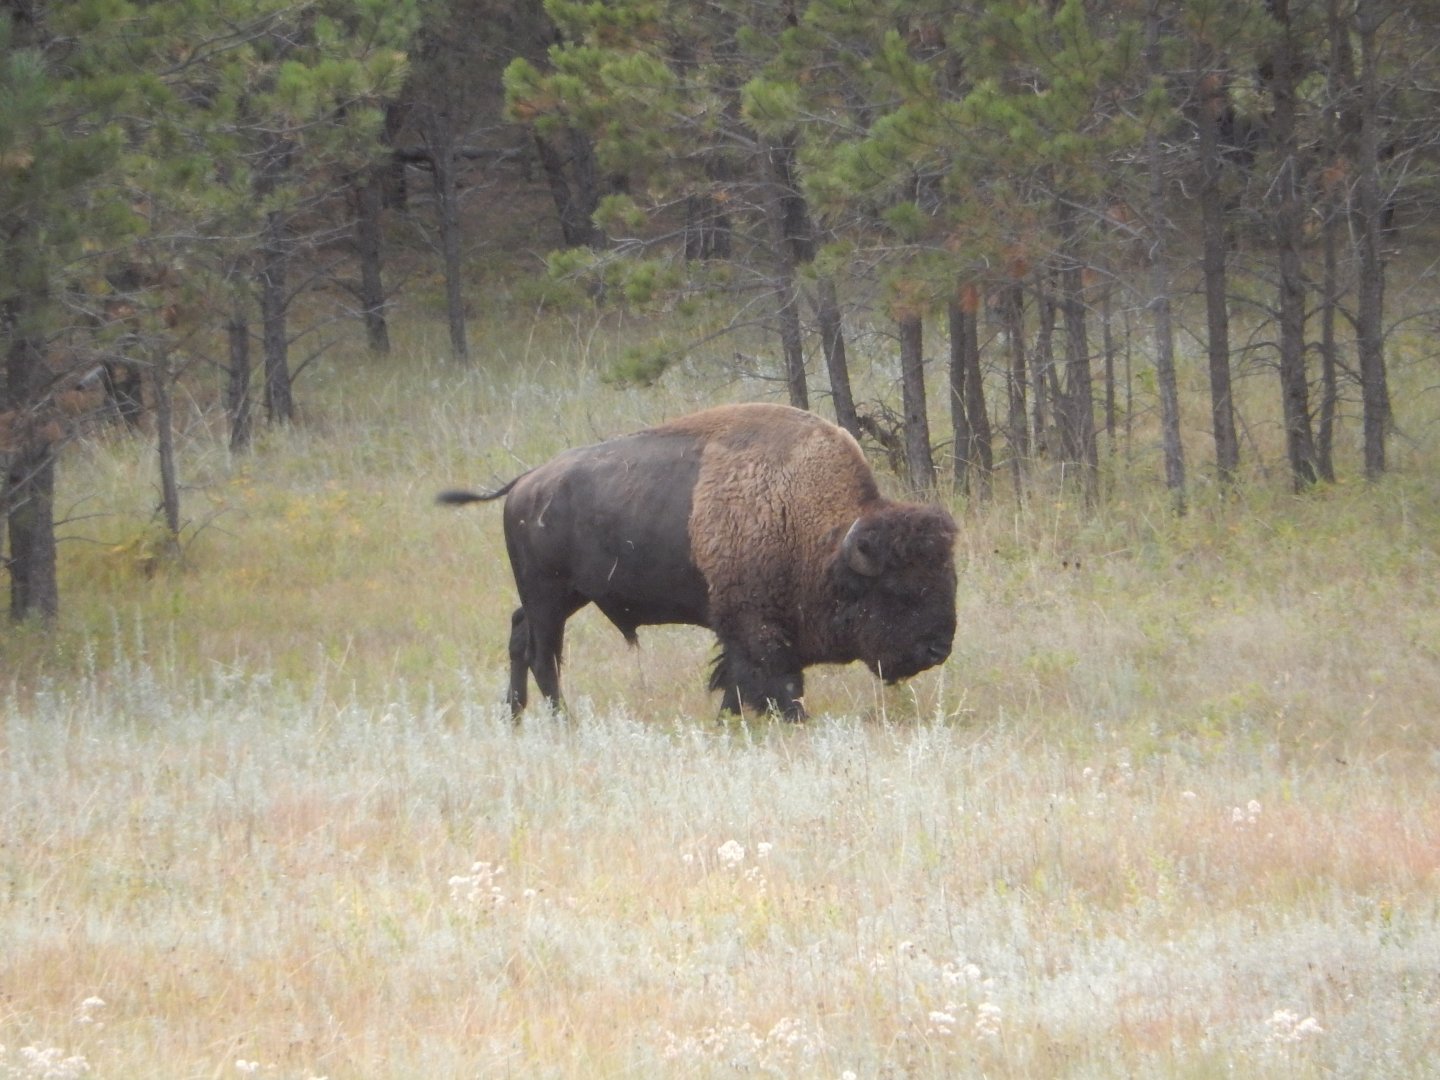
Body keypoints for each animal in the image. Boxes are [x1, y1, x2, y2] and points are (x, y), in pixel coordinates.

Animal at [439, 402, 957, 719]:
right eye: (899, 590)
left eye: (949, 580)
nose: (939, 649)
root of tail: (525, 482)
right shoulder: (754, 625)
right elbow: (773, 680)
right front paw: (791, 718)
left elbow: (735, 678)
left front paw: (730, 717)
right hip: (549, 596)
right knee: (543, 657)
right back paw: (564, 723)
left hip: (564, 596)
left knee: (519, 635)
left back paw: (514, 716)